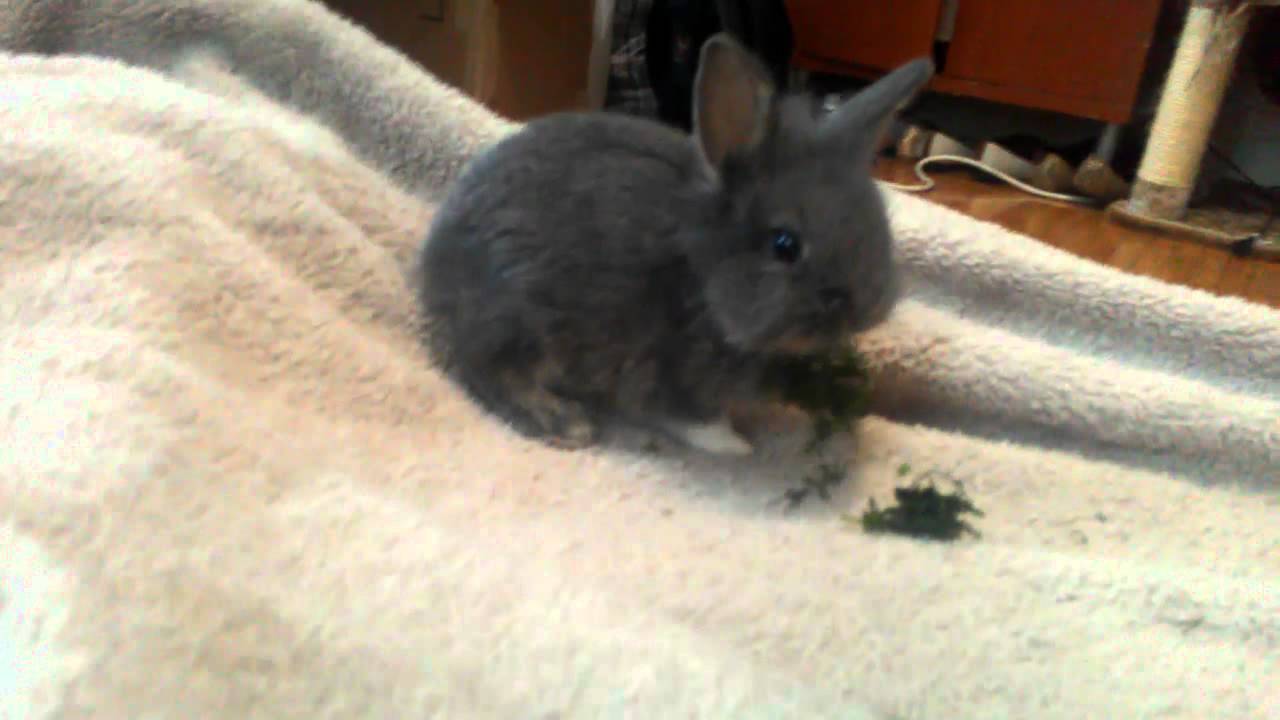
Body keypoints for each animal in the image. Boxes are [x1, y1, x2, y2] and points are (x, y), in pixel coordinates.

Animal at [415, 32, 933, 455]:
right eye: (785, 245)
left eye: (878, 222)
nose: (867, 311)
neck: (701, 271)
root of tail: (434, 268)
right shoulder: (670, 370)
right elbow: (691, 419)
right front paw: (735, 445)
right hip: (522, 318)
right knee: (489, 369)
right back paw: (566, 422)